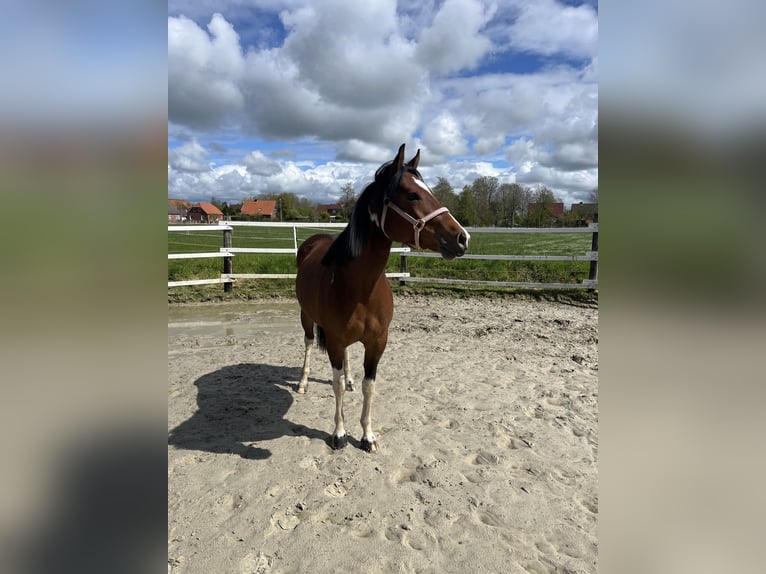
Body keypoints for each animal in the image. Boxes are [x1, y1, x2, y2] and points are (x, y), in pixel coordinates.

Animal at [296, 142, 472, 452]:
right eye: (412, 194)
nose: (462, 238)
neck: (360, 288)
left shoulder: (377, 342)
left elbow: (369, 386)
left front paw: (367, 436)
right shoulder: (335, 339)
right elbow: (336, 385)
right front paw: (339, 433)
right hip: (307, 317)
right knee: (307, 344)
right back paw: (303, 382)